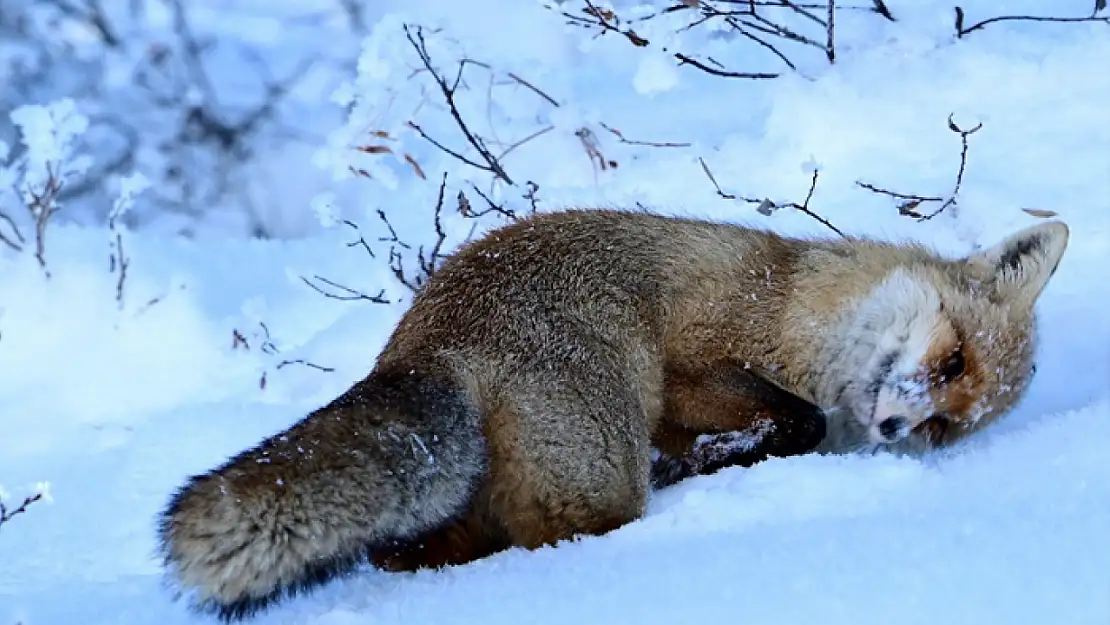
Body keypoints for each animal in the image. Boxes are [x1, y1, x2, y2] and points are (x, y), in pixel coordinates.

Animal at [156, 206, 1065, 621]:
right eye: (952, 361)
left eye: (951, 422)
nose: (898, 429)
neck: (801, 311)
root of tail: (429, 340)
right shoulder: (697, 351)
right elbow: (793, 418)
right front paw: (730, 452)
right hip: (603, 467)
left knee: (417, 548)